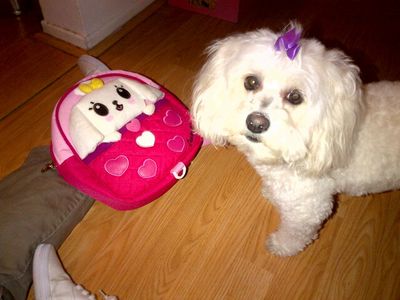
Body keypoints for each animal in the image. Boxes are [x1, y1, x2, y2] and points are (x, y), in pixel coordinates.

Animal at [191, 23, 400, 256]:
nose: (256, 123)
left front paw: (281, 246)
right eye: (251, 82)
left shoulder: (307, 209)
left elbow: (294, 234)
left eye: (295, 97)